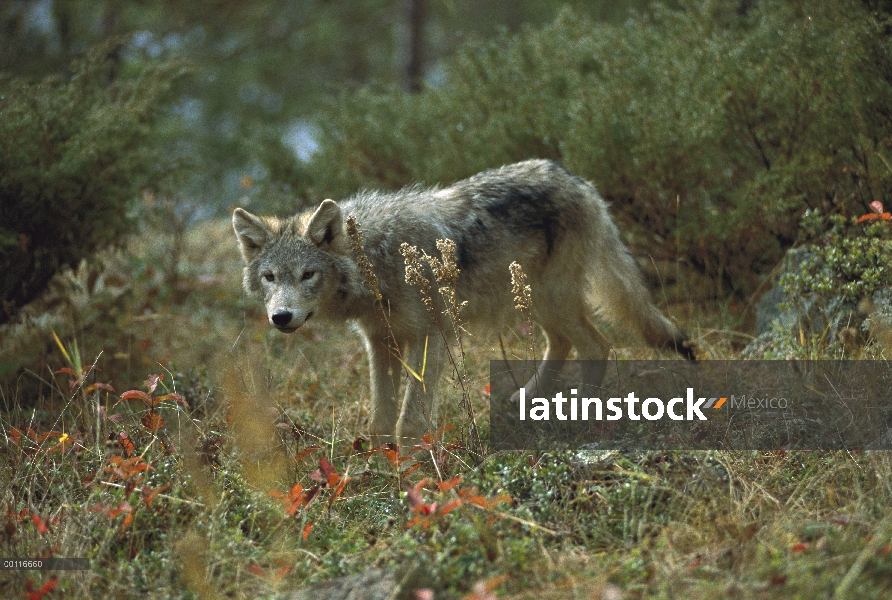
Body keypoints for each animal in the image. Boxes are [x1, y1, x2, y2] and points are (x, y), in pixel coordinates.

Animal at [233, 158, 692, 446]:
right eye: (270, 278)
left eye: (307, 275)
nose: (281, 317)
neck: (378, 261)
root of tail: (578, 181)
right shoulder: (381, 342)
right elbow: (380, 421)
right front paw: (381, 468)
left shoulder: (431, 337)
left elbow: (410, 421)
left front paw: (411, 474)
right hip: (533, 302)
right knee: (564, 344)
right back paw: (531, 402)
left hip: (550, 299)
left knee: (596, 345)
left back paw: (576, 417)